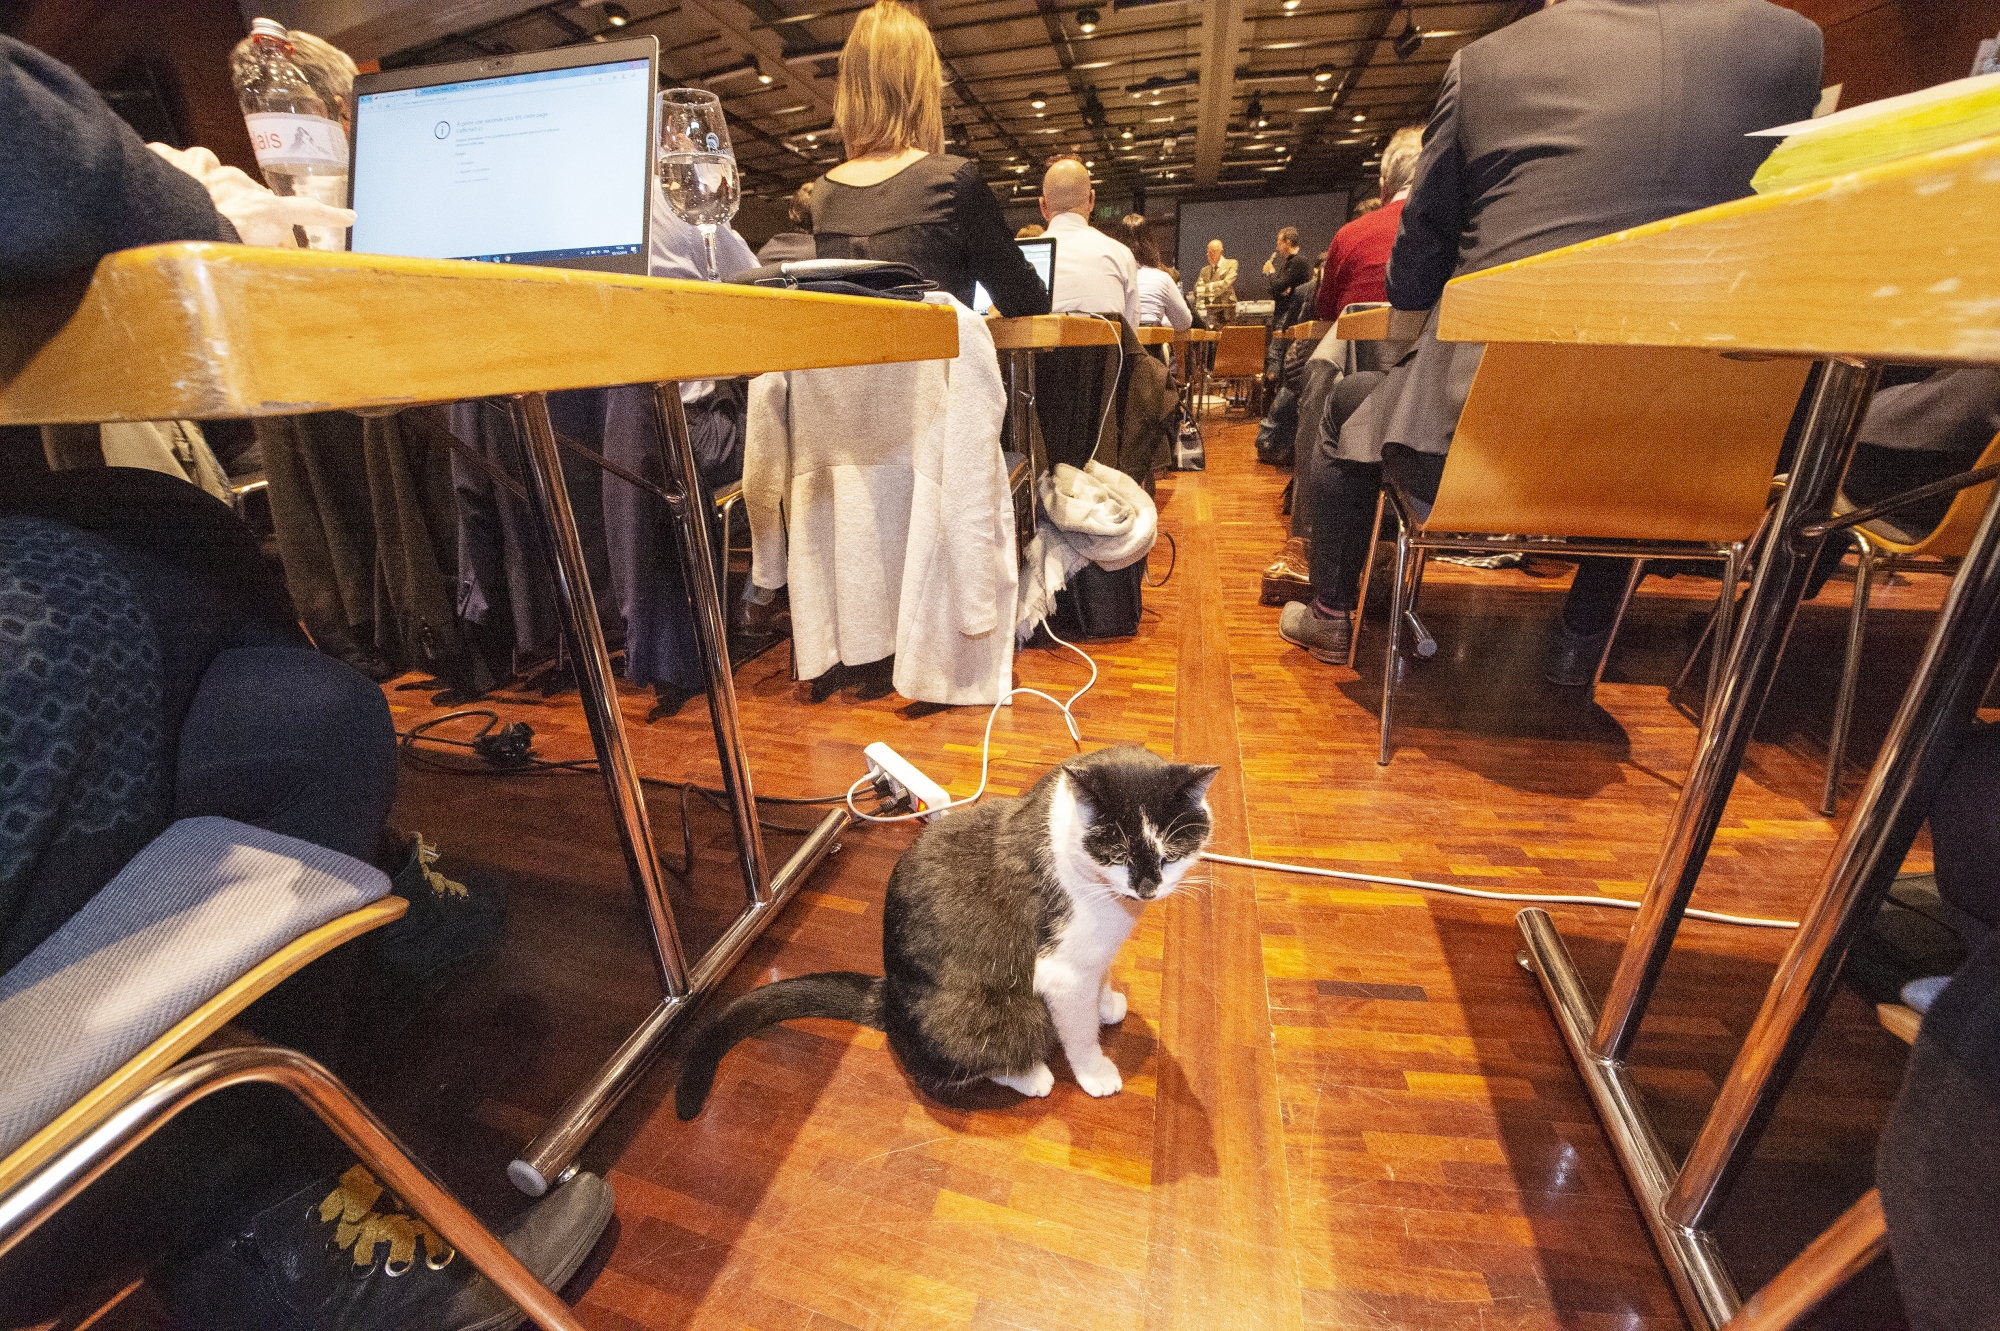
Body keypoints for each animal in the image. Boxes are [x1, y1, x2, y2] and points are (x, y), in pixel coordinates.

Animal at [676, 747, 1216, 1111]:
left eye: (1170, 856)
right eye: (1118, 854)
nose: (1147, 889)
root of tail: (889, 997)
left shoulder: (1096, 954)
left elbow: (1100, 980)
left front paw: (1107, 1004)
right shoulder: (1062, 971)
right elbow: (1078, 1032)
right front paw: (1094, 1070)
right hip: (1002, 1013)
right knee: (957, 1066)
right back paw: (1032, 1075)